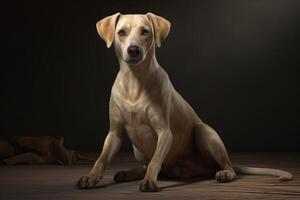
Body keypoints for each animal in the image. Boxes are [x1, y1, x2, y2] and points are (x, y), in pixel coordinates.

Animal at [76, 12, 292, 192]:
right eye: (121, 32)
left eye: (145, 32)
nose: (134, 49)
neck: (135, 80)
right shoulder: (114, 133)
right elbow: (101, 159)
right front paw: (91, 177)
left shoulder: (164, 132)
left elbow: (155, 160)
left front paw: (149, 181)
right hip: (139, 150)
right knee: (148, 165)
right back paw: (129, 173)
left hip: (204, 133)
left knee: (226, 166)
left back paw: (224, 173)